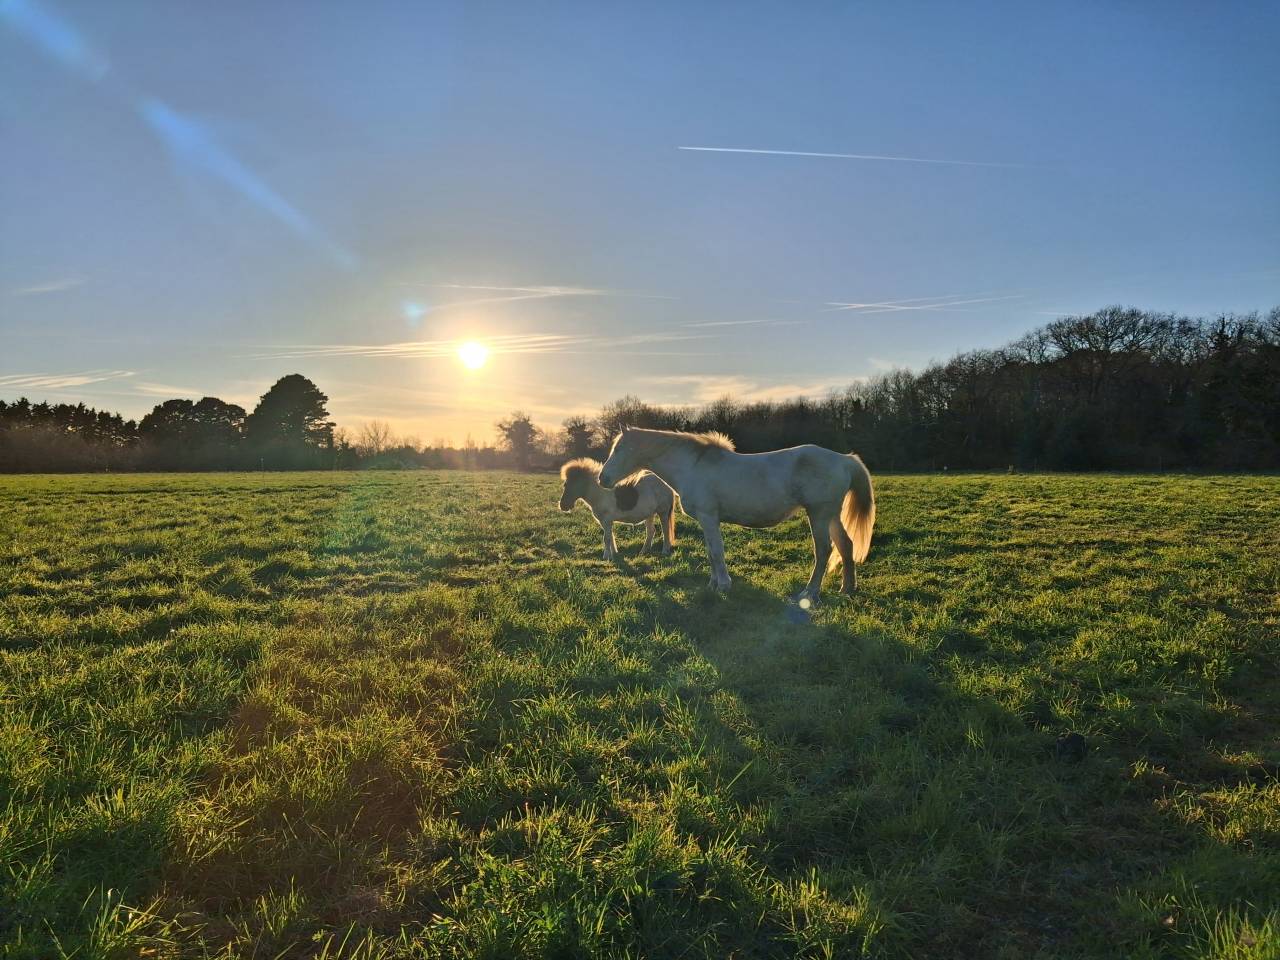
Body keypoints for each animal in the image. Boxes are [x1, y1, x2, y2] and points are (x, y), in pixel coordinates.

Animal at [598, 426, 874, 604]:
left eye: (620, 449)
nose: (602, 478)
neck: (693, 466)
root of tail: (844, 459)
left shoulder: (709, 517)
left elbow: (717, 552)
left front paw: (723, 585)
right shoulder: (707, 521)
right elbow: (711, 552)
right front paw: (712, 585)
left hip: (819, 514)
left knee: (824, 551)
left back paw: (810, 593)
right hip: (831, 515)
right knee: (845, 545)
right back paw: (847, 589)